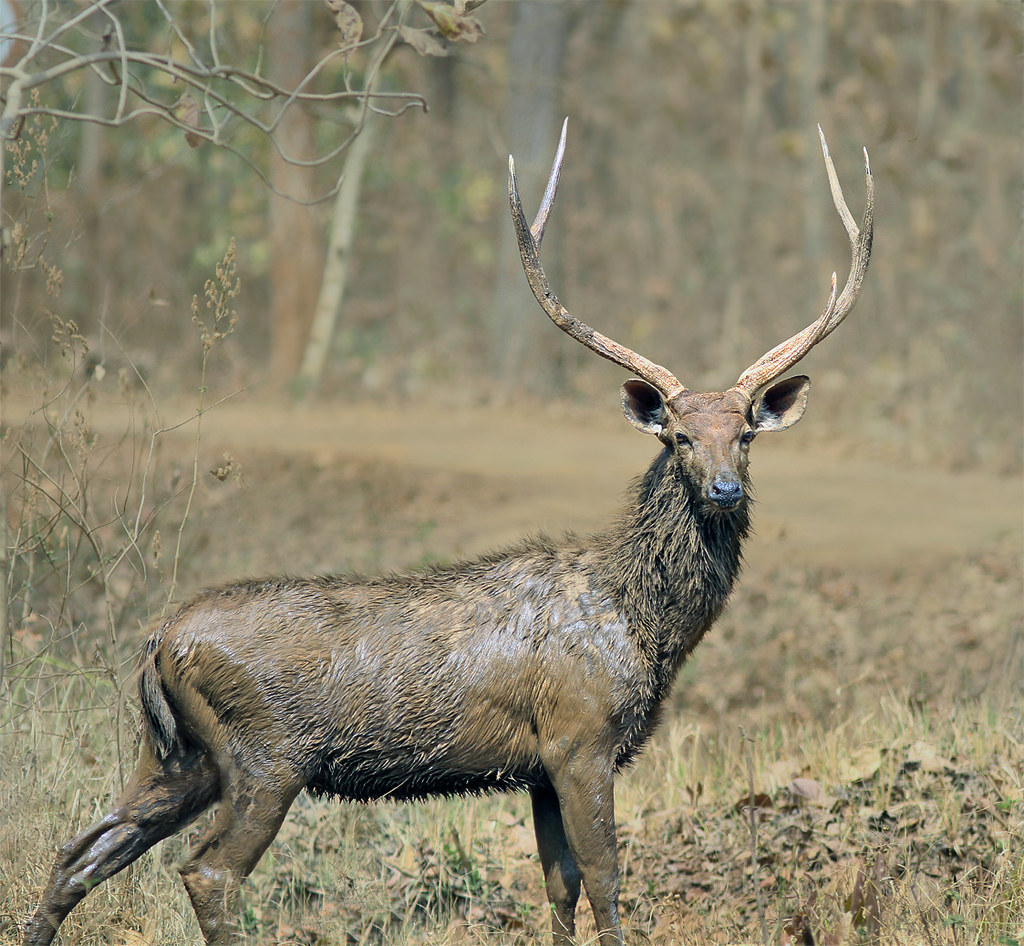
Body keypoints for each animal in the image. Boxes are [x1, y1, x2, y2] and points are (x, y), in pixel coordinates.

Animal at [23, 123, 872, 946]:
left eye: (746, 435)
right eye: (679, 437)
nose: (726, 491)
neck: (644, 625)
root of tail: (157, 642)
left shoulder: (538, 767)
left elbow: (559, 888)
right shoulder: (581, 739)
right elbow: (605, 884)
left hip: (176, 756)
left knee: (80, 851)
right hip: (263, 754)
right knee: (207, 871)